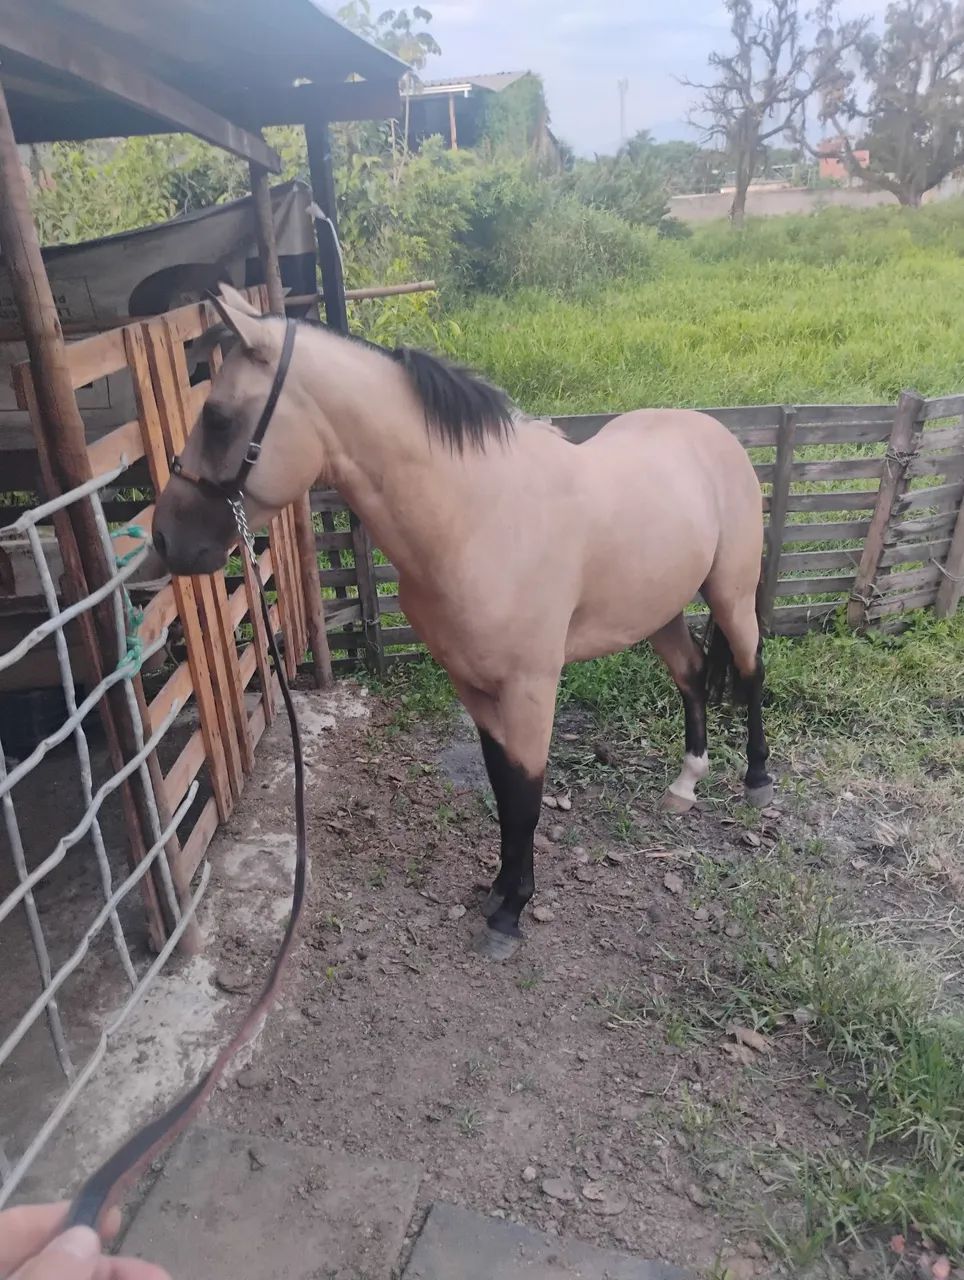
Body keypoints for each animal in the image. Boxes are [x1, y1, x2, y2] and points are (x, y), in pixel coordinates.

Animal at [150, 285, 772, 960]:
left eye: (217, 417)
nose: (164, 538)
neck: (477, 516)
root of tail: (715, 433)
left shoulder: (530, 687)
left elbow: (526, 794)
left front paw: (511, 915)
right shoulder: (471, 683)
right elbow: (502, 788)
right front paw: (498, 890)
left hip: (732, 597)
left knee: (751, 670)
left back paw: (757, 781)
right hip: (660, 612)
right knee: (692, 674)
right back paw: (686, 784)